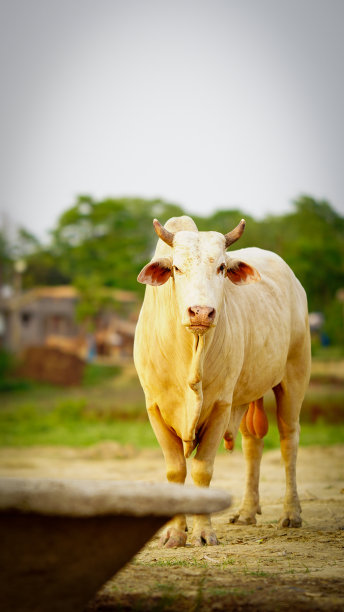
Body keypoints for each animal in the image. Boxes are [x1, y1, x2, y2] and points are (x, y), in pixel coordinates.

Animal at [133, 214, 310, 544]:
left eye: (222, 268)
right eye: (176, 268)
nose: (202, 312)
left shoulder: (219, 406)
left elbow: (202, 470)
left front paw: (202, 532)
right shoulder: (155, 407)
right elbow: (175, 471)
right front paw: (175, 533)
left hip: (294, 377)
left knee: (288, 441)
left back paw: (291, 513)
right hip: (247, 392)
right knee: (253, 444)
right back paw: (246, 512)